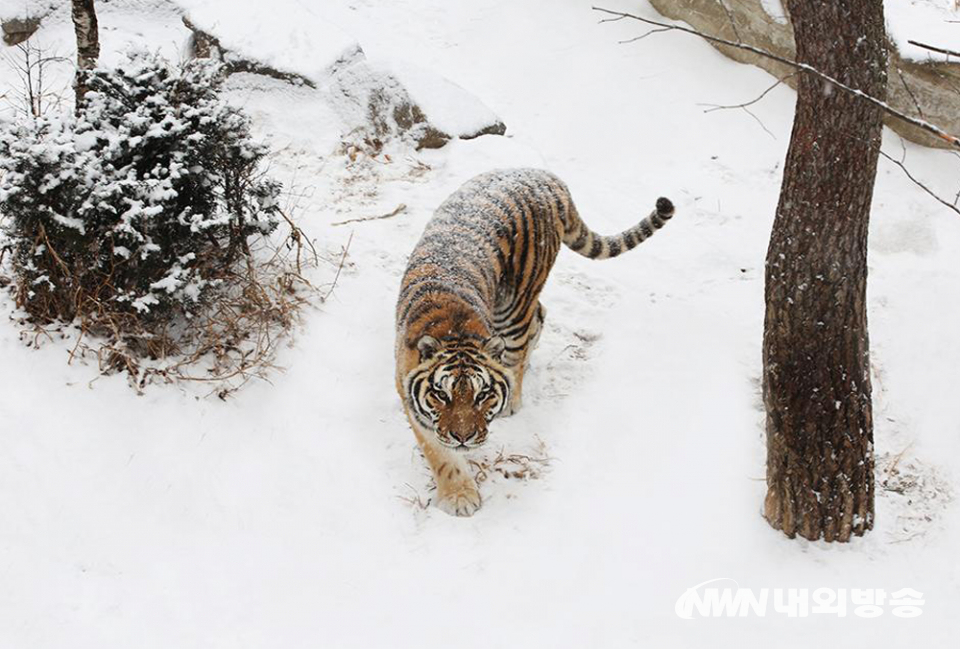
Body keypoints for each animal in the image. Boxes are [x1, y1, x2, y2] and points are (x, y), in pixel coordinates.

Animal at [394, 168, 672, 516]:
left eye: (482, 394)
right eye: (441, 395)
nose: (464, 437)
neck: (454, 328)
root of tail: (547, 178)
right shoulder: (413, 398)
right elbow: (440, 454)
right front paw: (459, 496)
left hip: (515, 305)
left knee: (521, 344)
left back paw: (513, 399)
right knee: (539, 316)